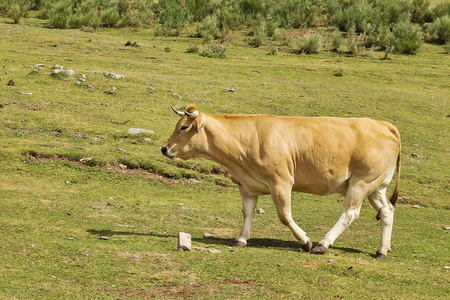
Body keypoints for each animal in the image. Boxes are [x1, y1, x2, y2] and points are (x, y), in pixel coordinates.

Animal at [162, 105, 400, 258]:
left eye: (183, 127)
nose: (164, 148)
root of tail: (380, 124)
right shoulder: (247, 186)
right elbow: (247, 213)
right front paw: (241, 239)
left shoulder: (281, 182)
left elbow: (285, 215)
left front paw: (305, 241)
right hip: (376, 187)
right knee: (387, 210)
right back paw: (382, 250)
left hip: (361, 183)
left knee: (349, 213)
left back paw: (323, 244)